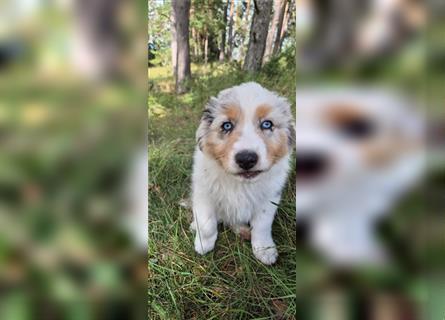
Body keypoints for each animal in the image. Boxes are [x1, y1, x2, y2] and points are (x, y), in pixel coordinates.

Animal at [189, 82, 294, 264]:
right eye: (227, 125)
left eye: (267, 124)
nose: (246, 159)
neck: (240, 184)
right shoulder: (203, 193)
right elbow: (206, 223)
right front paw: (203, 245)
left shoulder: (269, 199)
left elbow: (262, 226)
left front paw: (265, 251)